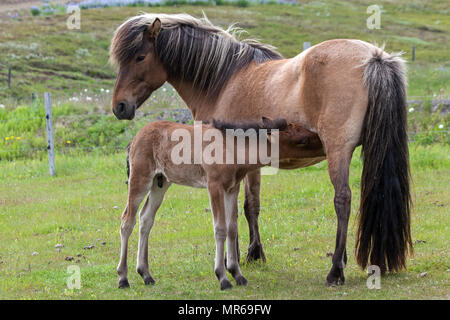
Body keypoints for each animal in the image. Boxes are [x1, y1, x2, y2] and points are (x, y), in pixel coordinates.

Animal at [118, 117, 324, 290]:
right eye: (303, 140)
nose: (323, 144)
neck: (233, 149)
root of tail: (133, 140)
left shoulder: (232, 188)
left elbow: (232, 228)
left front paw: (237, 274)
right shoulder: (214, 186)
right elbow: (220, 228)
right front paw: (223, 277)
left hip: (160, 182)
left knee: (146, 219)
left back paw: (146, 274)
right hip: (140, 178)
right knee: (127, 221)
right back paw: (123, 278)